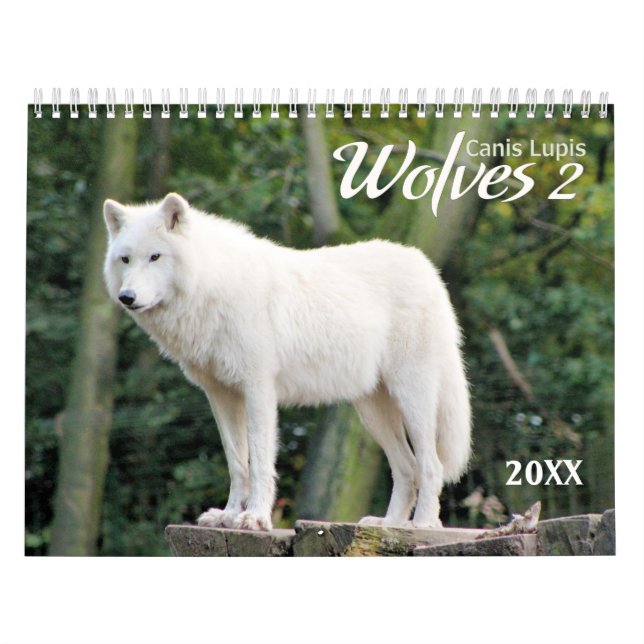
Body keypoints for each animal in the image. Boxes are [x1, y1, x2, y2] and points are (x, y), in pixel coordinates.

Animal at [103, 192, 471, 531]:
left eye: (155, 257)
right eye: (125, 259)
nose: (127, 297)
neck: (212, 285)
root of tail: (427, 268)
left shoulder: (258, 390)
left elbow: (259, 461)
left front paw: (254, 517)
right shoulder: (221, 396)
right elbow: (237, 463)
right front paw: (228, 516)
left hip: (412, 400)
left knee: (431, 465)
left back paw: (423, 524)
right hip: (372, 412)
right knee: (407, 468)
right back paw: (388, 524)